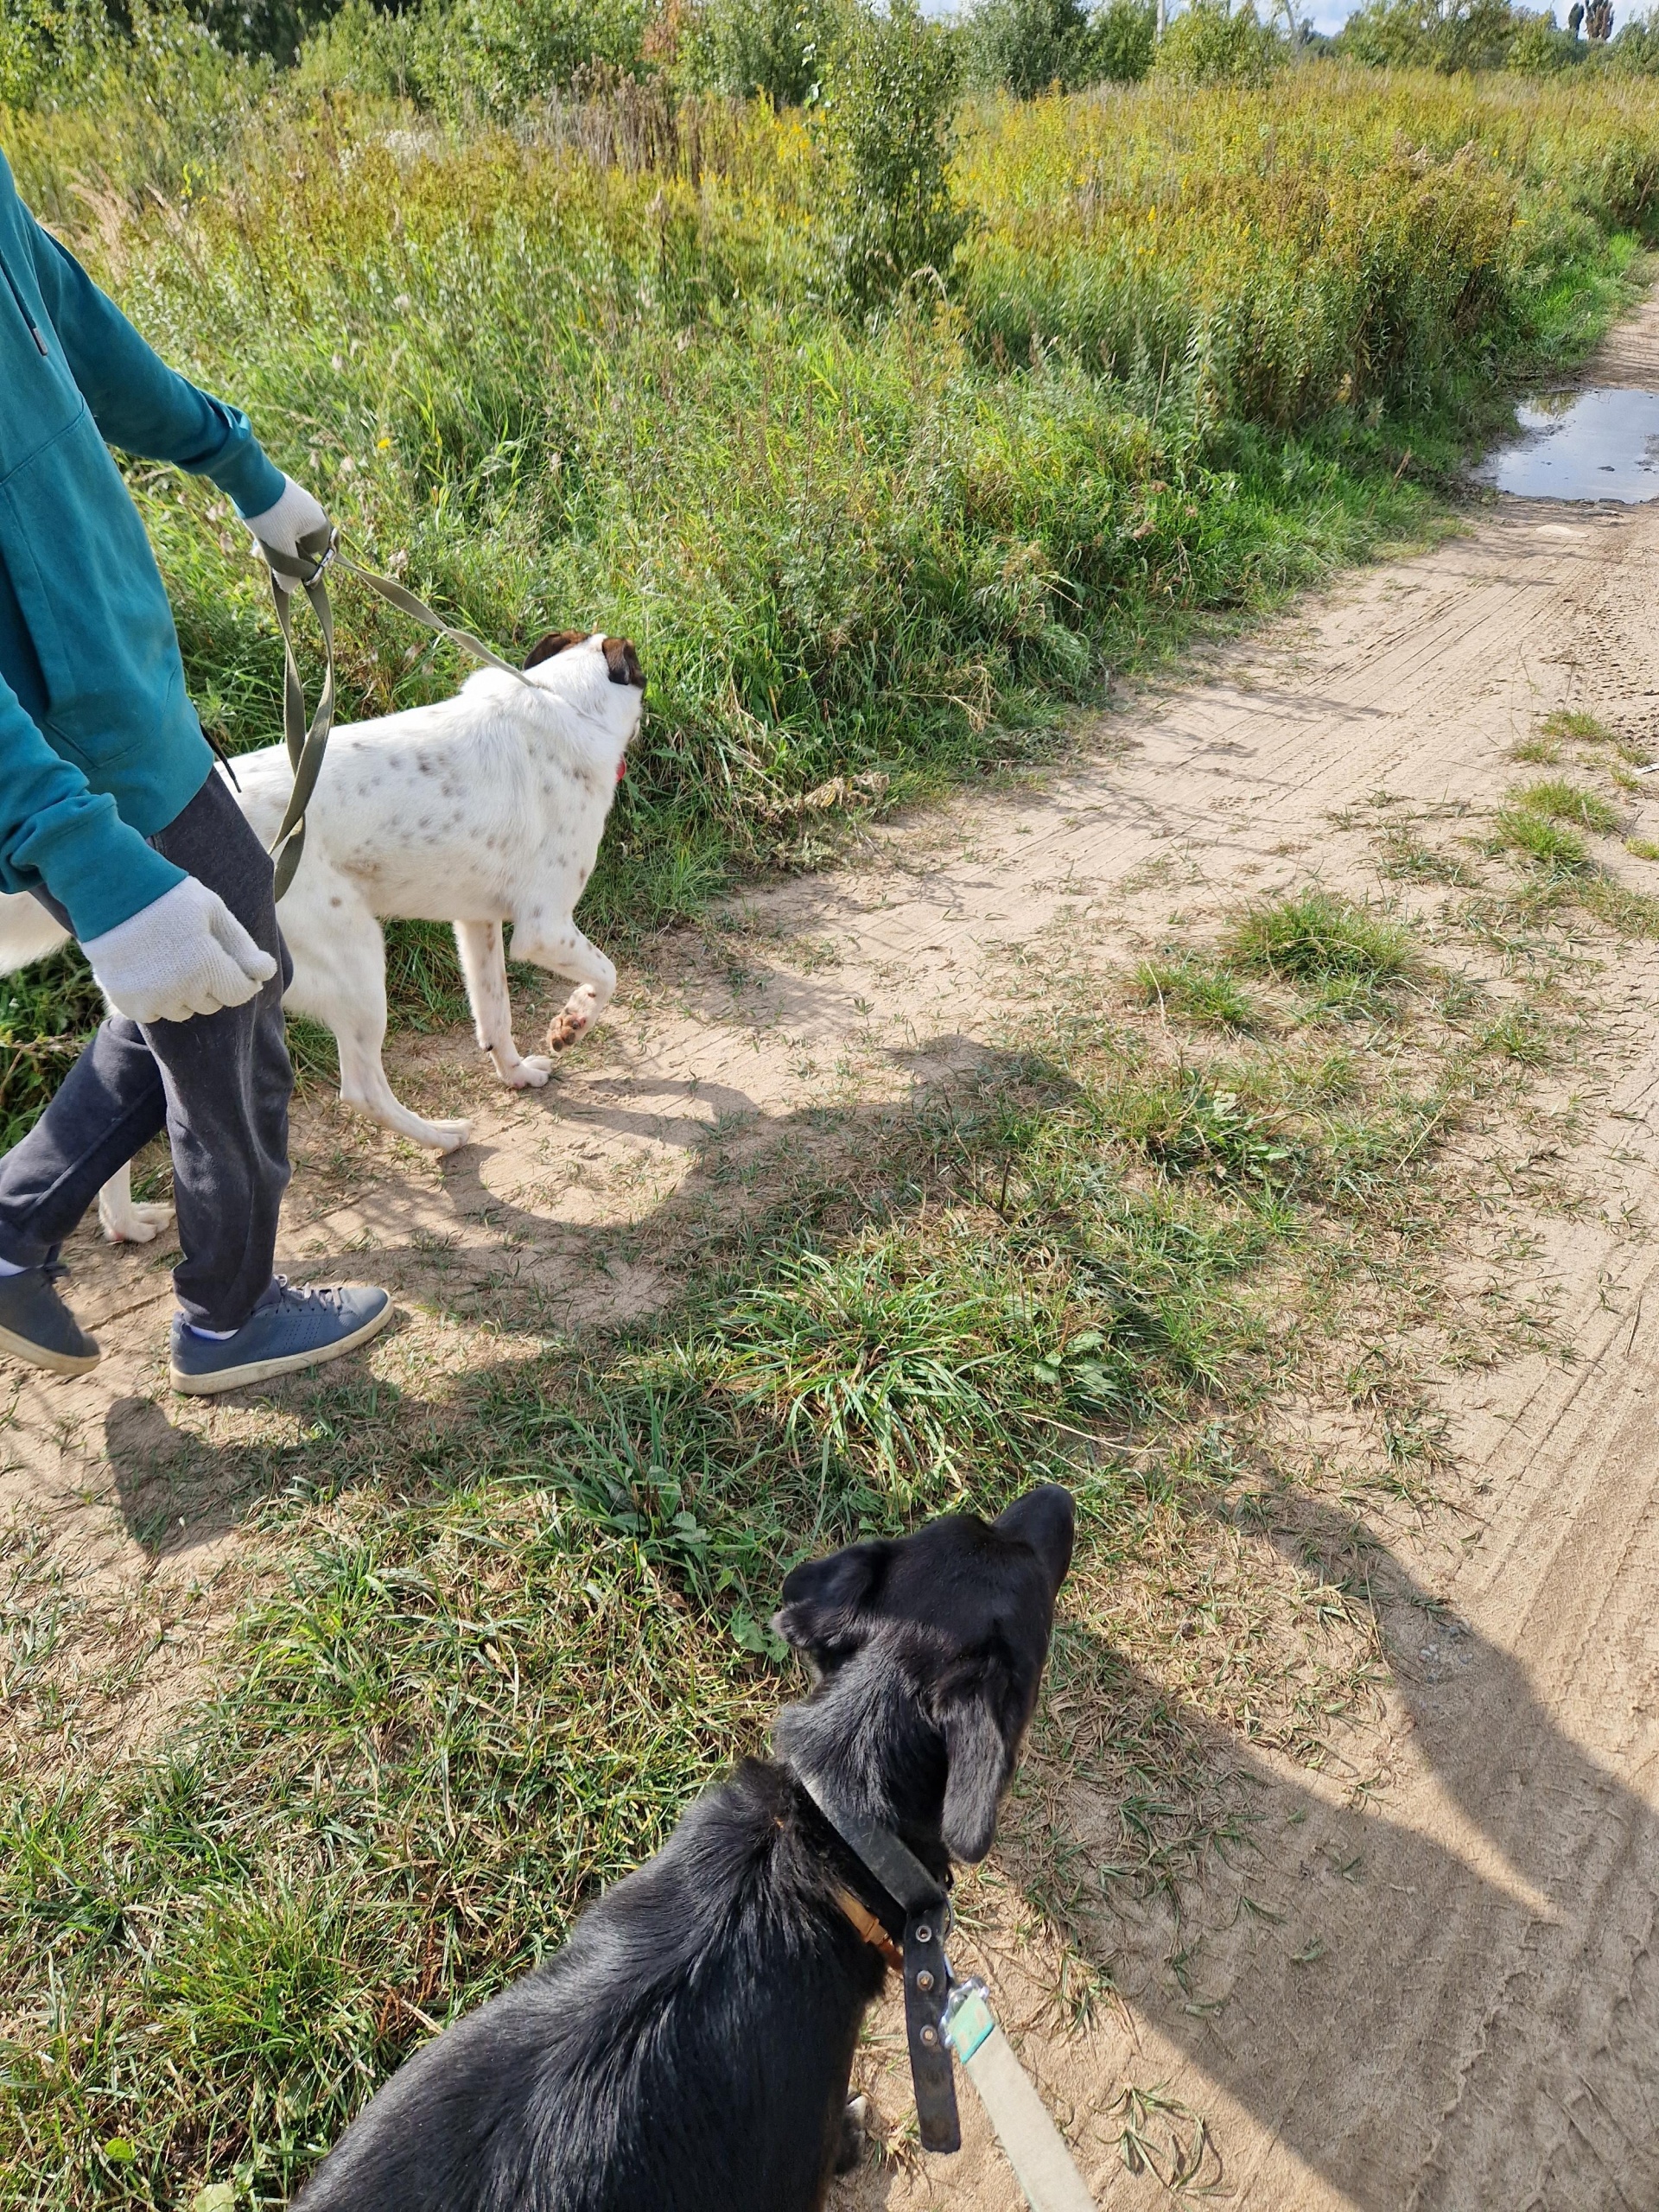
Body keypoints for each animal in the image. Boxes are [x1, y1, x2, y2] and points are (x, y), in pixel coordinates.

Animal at [0, 632, 641, 1247]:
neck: (561, 699)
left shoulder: (475, 924)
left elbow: (495, 1016)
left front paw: (516, 1074)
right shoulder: (543, 928)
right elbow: (607, 975)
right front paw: (572, 1023)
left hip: (170, 998)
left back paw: (125, 1224)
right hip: (351, 965)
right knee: (360, 1088)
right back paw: (441, 1137)